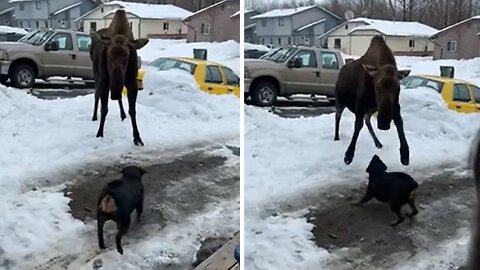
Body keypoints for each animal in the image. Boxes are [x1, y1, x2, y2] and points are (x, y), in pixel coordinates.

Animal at [89, 9, 149, 147]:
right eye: (108, 55)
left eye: (127, 56)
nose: (114, 95)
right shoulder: (105, 81)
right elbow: (104, 108)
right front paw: (99, 133)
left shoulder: (131, 81)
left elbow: (132, 110)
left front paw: (137, 137)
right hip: (95, 73)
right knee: (96, 94)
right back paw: (94, 116)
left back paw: (122, 114)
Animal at [336, 36, 410, 167]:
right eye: (377, 86)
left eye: (398, 88)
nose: (384, 124)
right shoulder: (360, 105)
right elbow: (357, 126)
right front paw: (349, 155)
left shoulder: (395, 105)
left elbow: (400, 123)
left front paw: (405, 153)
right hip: (340, 101)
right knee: (337, 117)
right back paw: (336, 137)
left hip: (371, 109)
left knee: (367, 121)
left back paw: (378, 143)